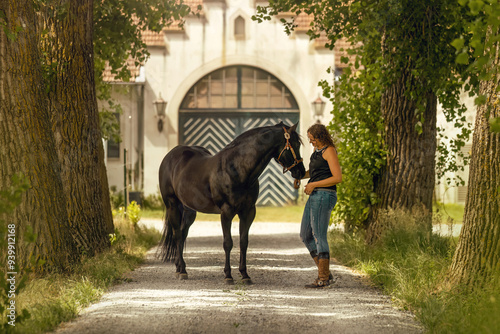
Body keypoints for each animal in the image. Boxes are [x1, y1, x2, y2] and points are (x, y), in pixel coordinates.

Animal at [157, 121, 304, 284]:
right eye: (294, 144)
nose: (301, 172)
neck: (236, 168)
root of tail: (171, 155)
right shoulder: (226, 212)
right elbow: (228, 243)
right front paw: (228, 275)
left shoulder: (248, 211)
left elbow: (244, 242)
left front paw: (245, 275)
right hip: (172, 205)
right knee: (177, 234)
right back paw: (182, 270)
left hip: (189, 210)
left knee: (182, 234)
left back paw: (179, 267)